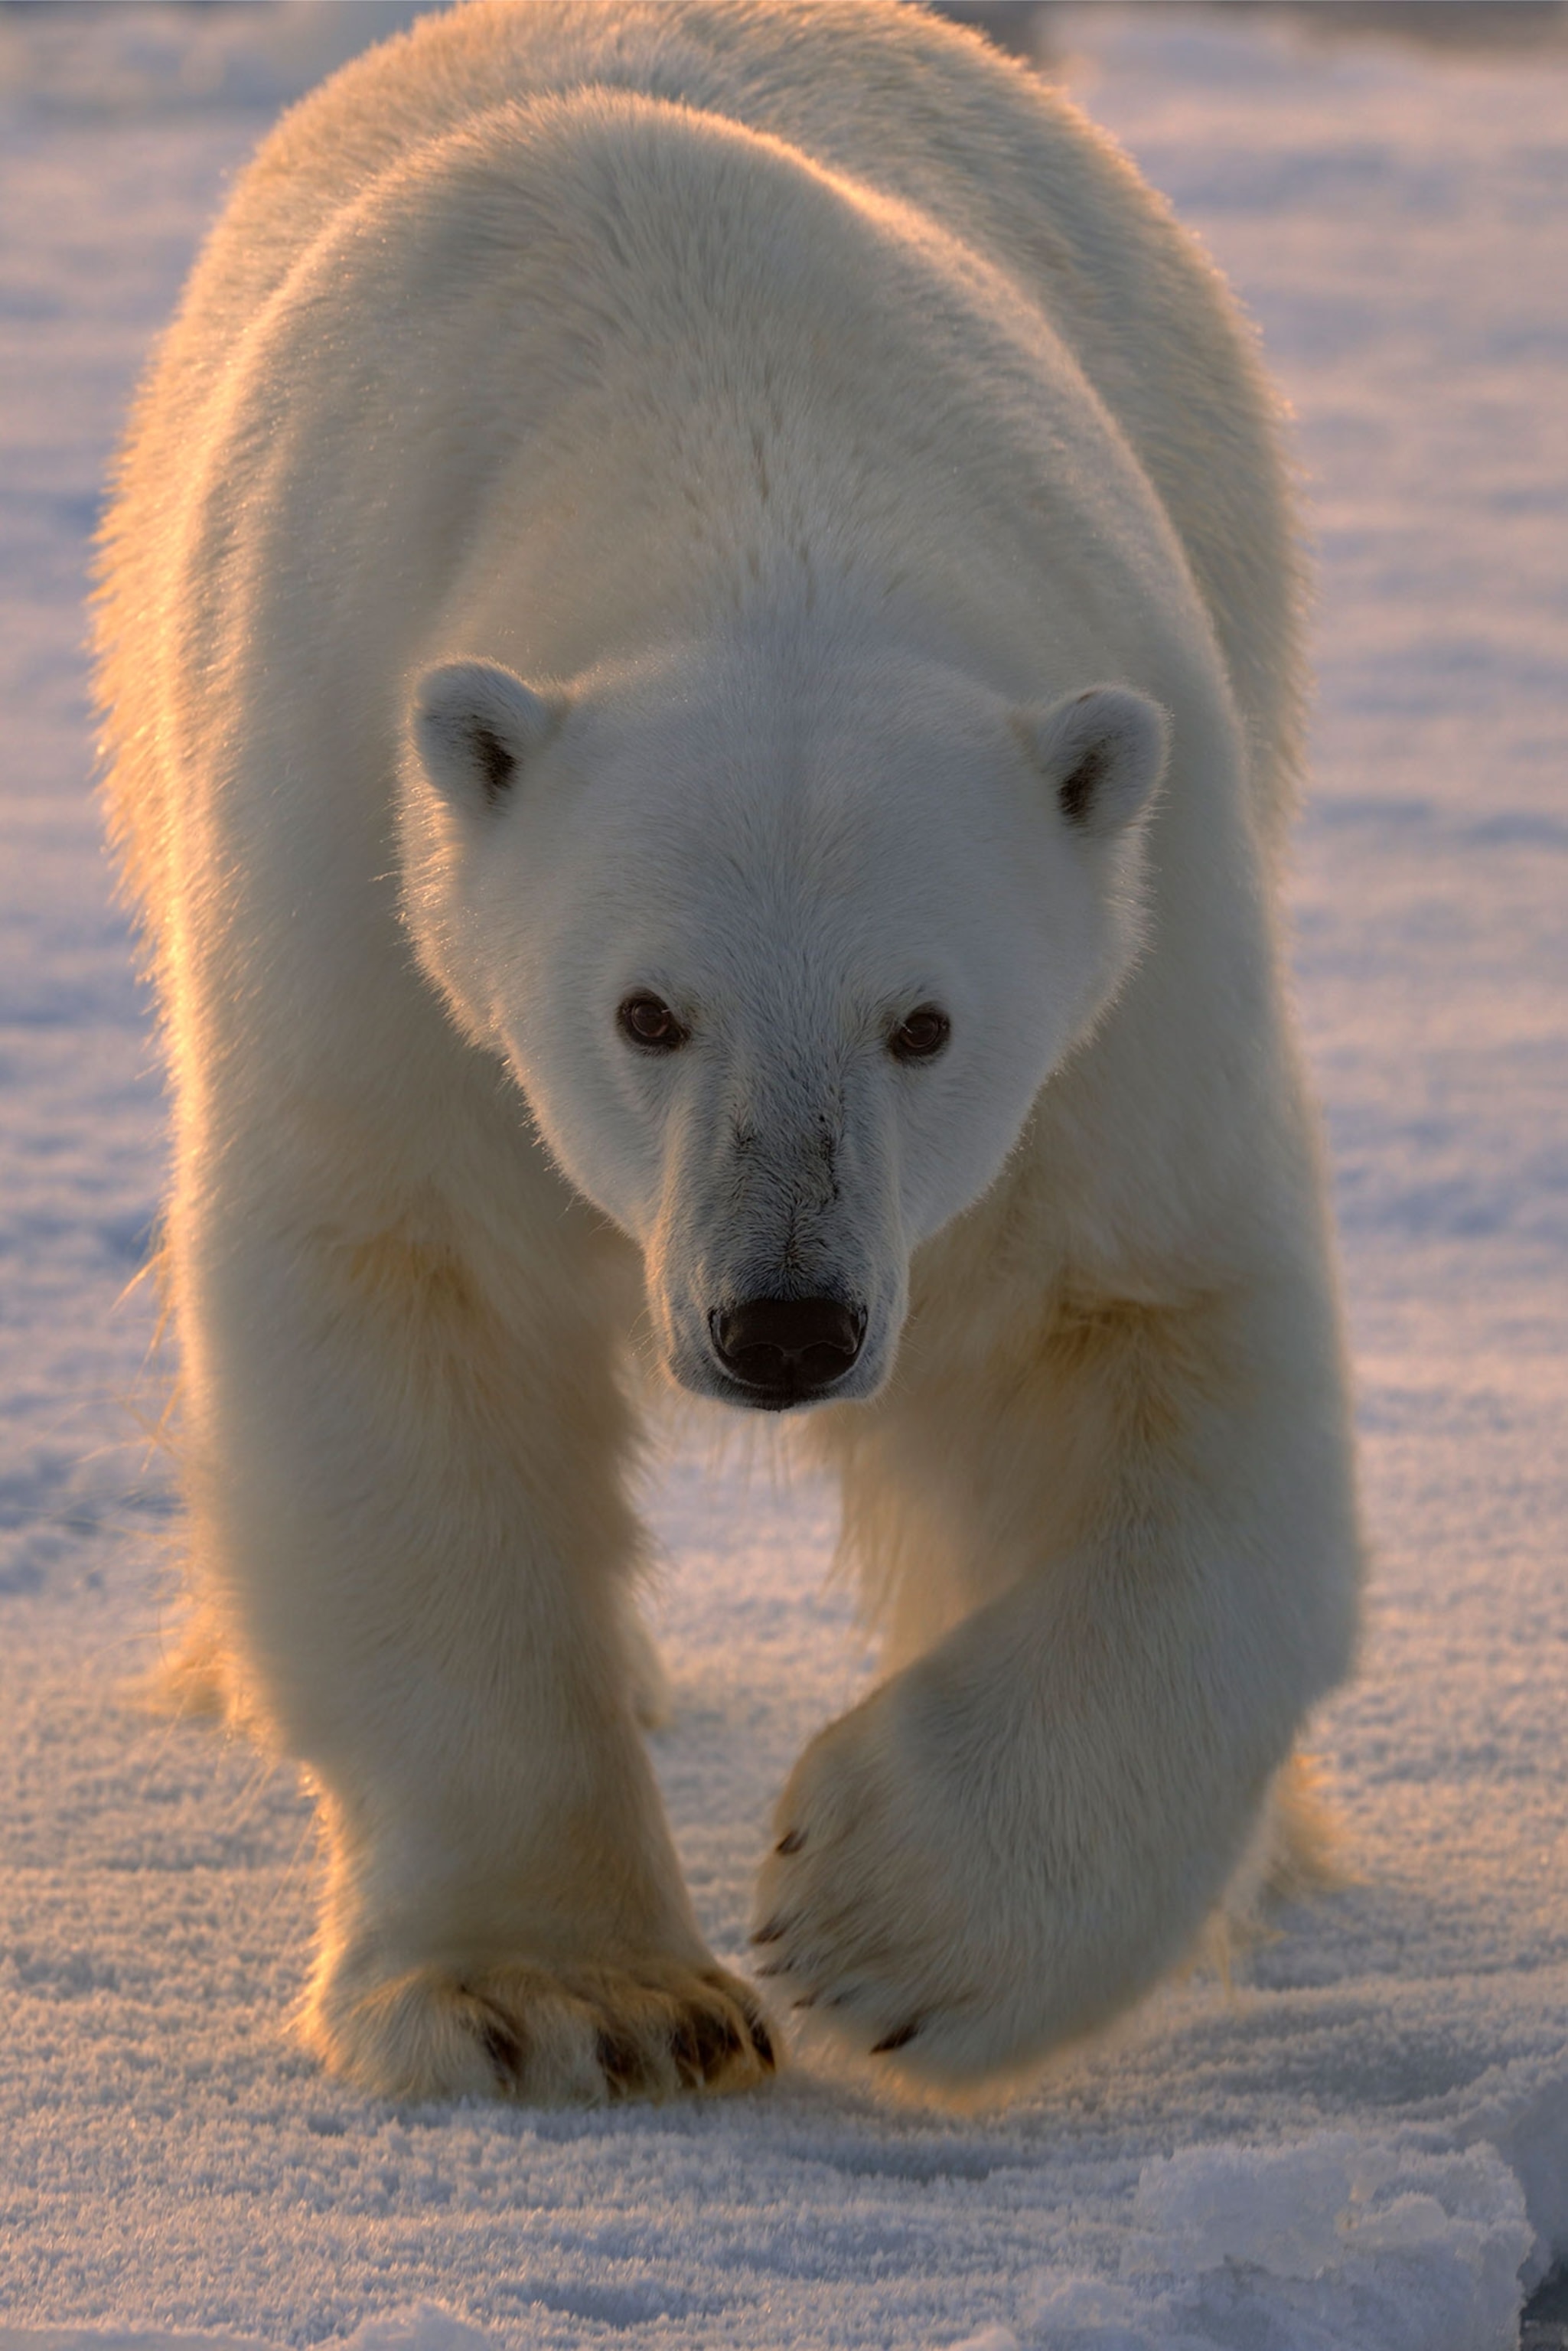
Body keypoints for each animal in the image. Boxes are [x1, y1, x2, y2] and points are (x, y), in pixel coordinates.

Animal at [95, 0, 1363, 2104]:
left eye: (924, 1019)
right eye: (645, 1009)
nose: (783, 1323)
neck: (730, 424)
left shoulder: (1127, 933)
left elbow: (1149, 1330)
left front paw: (882, 1920)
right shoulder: (348, 841)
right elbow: (403, 1301)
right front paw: (559, 2002)